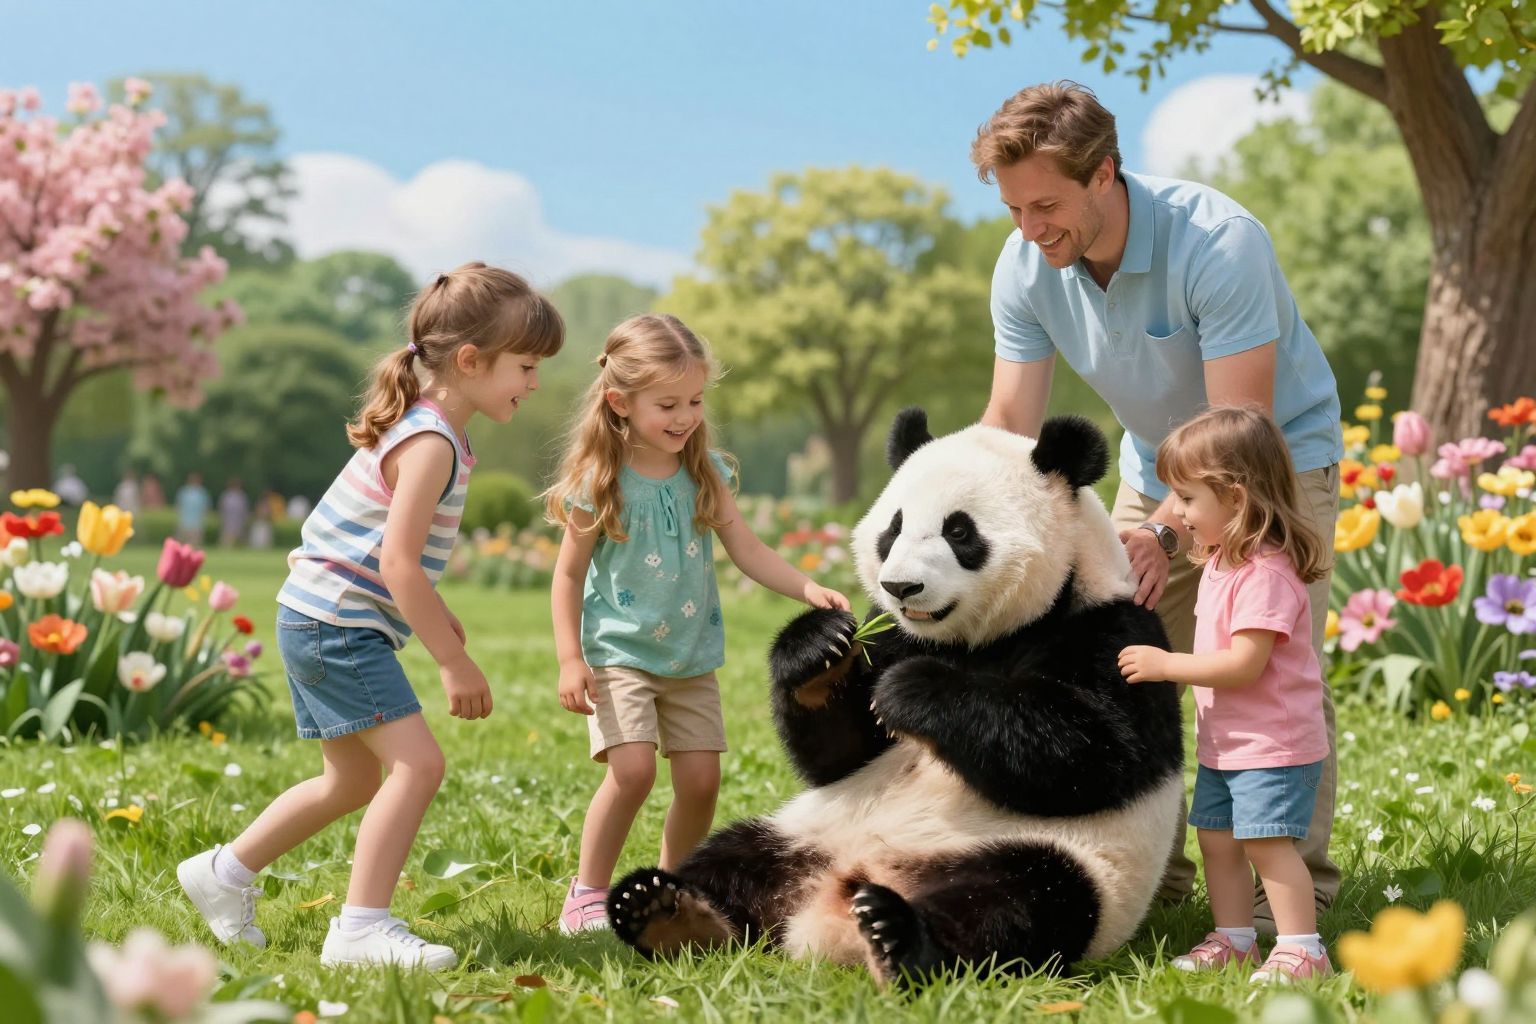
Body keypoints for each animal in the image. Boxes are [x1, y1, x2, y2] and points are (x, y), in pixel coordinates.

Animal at [606, 408, 1184, 986]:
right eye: (894, 527)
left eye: (959, 530)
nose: (902, 587)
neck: (978, 640)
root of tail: (836, 900)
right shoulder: (891, 635)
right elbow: (839, 754)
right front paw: (819, 650)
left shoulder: (1108, 629)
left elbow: (1098, 751)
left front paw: (914, 692)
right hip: (803, 829)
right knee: (731, 858)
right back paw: (666, 912)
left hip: (1066, 860)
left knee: (1019, 901)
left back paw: (898, 937)